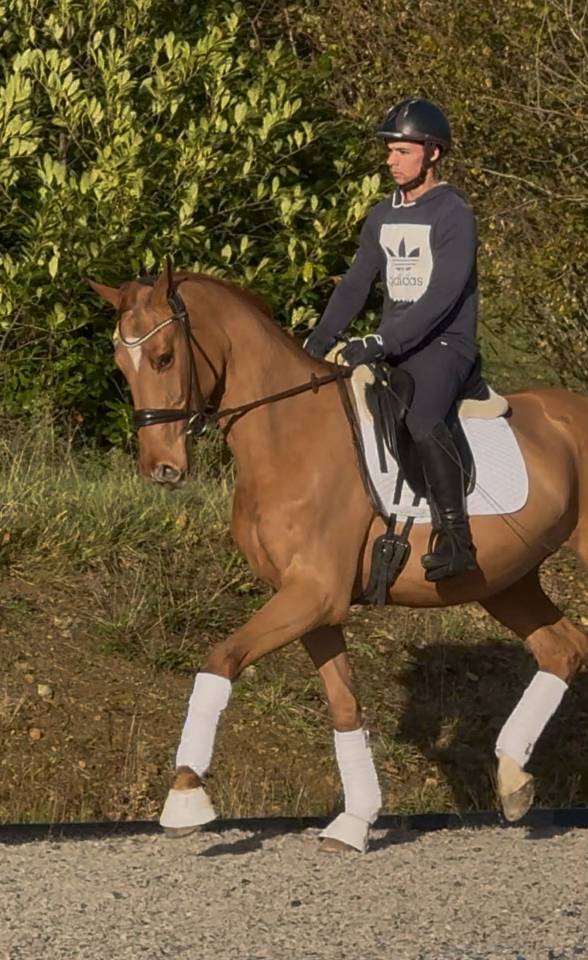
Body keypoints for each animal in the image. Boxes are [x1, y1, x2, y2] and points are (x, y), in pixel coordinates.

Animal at [89, 263, 588, 853]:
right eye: (121, 364)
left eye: (165, 357)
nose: (161, 469)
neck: (287, 433)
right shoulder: (311, 605)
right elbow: (345, 705)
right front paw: (356, 821)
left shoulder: (313, 595)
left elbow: (220, 660)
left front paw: (186, 798)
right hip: (506, 581)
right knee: (563, 649)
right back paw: (513, 780)